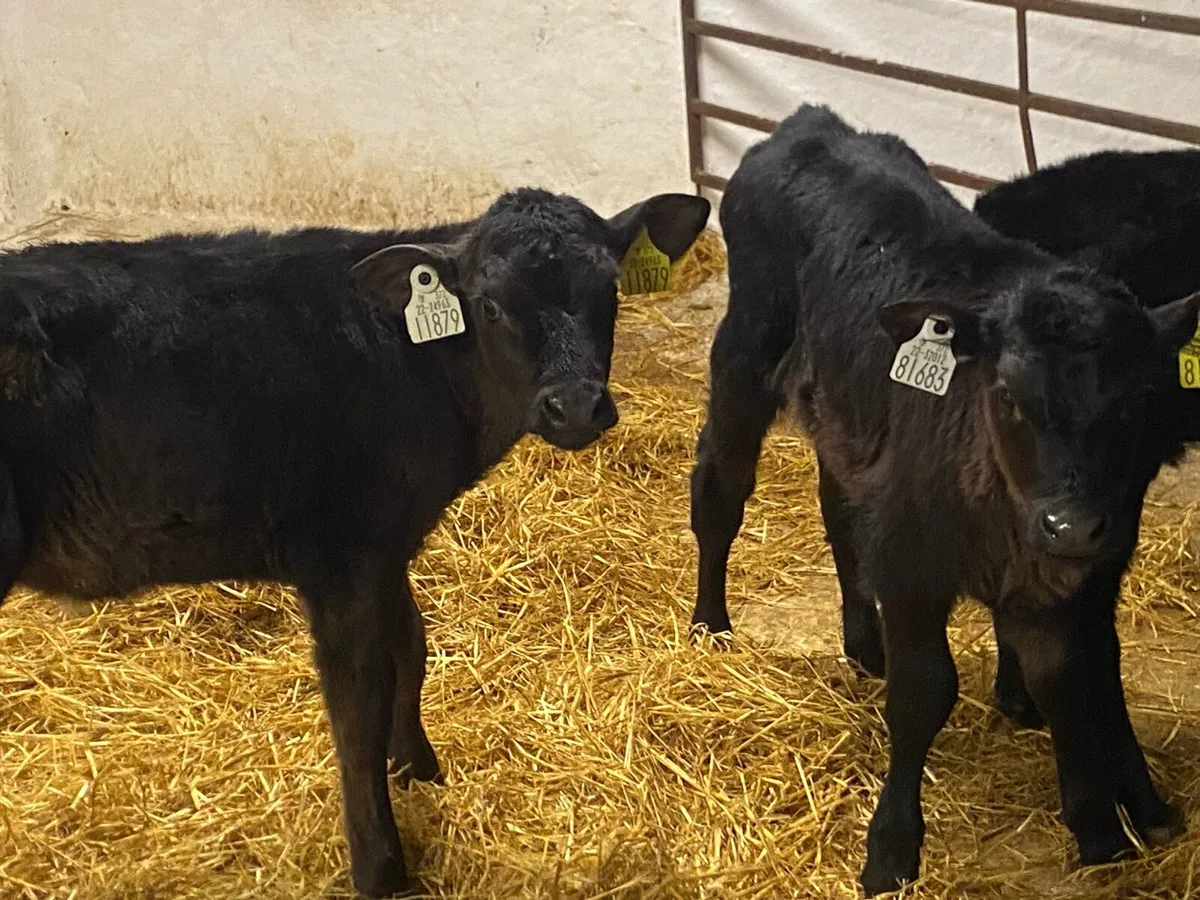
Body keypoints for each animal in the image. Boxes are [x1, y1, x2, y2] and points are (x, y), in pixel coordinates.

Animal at [0, 187, 710, 898]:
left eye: (609, 288)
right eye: (490, 304)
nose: (575, 406)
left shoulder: (385, 544)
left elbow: (411, 646)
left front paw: (418, 766)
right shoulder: (342, 556)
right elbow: (356, 708)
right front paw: (381, 867)